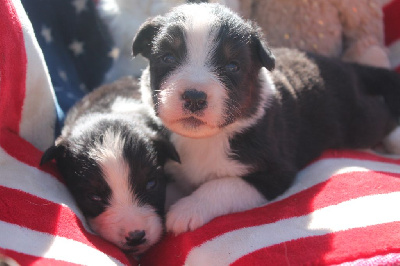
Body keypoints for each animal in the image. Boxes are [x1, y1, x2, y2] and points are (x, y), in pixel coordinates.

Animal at [130, 3, 400, 234]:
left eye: (232, 66)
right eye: (168, 58)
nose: (194, 97)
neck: (206, 139)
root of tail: (346, 65)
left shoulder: (274, 173)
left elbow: (222, 185)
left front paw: (187, 210)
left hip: (358, 120)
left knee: (383, 113)